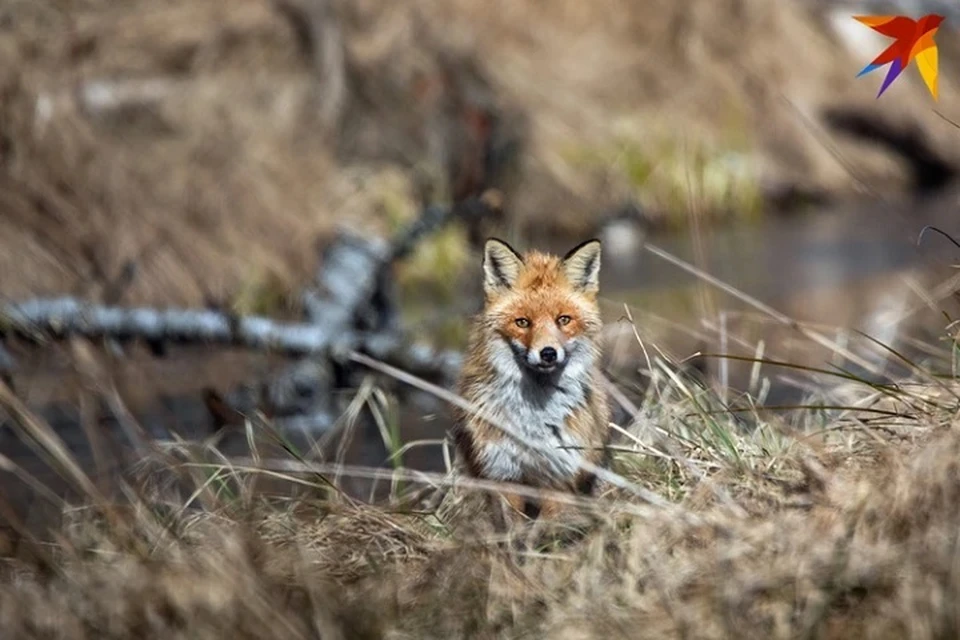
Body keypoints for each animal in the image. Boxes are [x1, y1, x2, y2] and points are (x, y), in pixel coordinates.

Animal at [454, 238, 612, 524]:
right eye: (522, 322)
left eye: (564, 319)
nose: (548, 353)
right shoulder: (503, 475)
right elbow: (512, 529)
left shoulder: (559, 475)